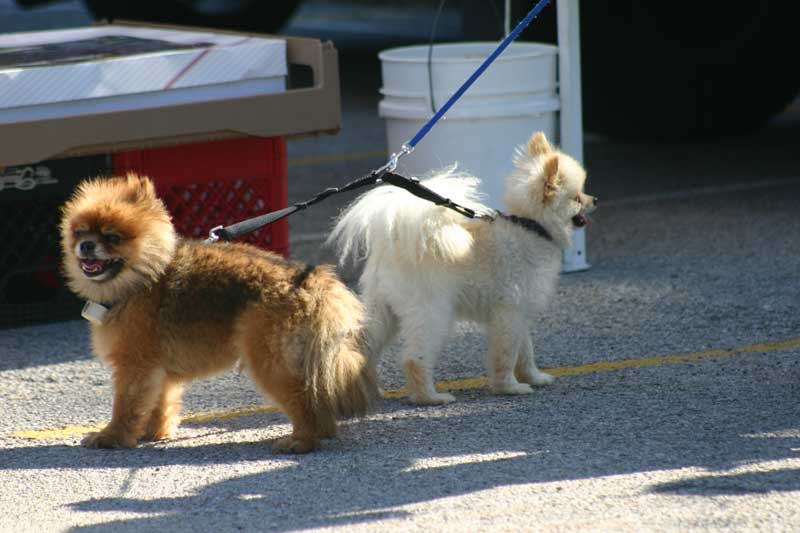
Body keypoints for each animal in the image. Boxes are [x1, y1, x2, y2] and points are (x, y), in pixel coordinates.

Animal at [59, 175, 378, 454]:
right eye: (79, 232)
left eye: (112, 237)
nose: (86, 245)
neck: (144, 277)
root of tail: (311, 282)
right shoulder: (156, 368)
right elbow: (159, 403)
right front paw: (153, 433)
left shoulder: (134, 366)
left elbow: (125, 406)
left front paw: (111, 437)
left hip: (271, 362)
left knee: (304, 402)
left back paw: (301, 441)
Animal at [326, 132, 592, 404]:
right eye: (577, 198)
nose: (594, 200)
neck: (531, 226)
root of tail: (394, 245)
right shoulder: (509, 314)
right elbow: (506, 355)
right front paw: (509, 387)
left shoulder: (521, 313)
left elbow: (525, 352)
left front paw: (534, 378)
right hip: (433, 313)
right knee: (414, 359)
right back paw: (430, 397)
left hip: (383, 311)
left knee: (362, 347)